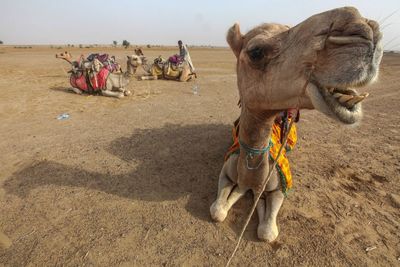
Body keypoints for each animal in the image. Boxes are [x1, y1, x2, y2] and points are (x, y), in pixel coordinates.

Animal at [209, 7, 382, 244]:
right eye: (256, 52)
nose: (363, 29)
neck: (251, 176)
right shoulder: (226, 171)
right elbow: (217, 211)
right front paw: (238, 195)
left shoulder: (280, 186)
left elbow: (267, 232)